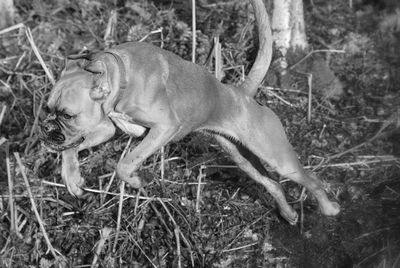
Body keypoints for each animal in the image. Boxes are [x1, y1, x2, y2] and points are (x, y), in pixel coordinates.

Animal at [40, 0, 340, 224]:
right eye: (49, 110)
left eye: (66, 115)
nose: (47, 127)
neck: (121, 75)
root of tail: (243, 93)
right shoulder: (105, 128)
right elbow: (70, 149)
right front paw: (72, 179)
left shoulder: (163, 128)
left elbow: (125, 163)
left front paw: (135, 181)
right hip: (242, 158)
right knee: (274, 185)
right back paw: (289, 214)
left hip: (278, 158)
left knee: (312, 180)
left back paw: (329, 209)